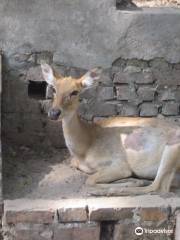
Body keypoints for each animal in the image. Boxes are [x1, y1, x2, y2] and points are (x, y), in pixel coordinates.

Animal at [40, 62, 180, 196]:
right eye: (54, 89)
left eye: (75, 92)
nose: (54, 113)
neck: (84, 149)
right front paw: (132, 180)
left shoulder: (119, 163)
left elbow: (90, 180)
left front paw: (129, 181)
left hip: (172, 148)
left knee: (158, 187)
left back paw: (106, 191)